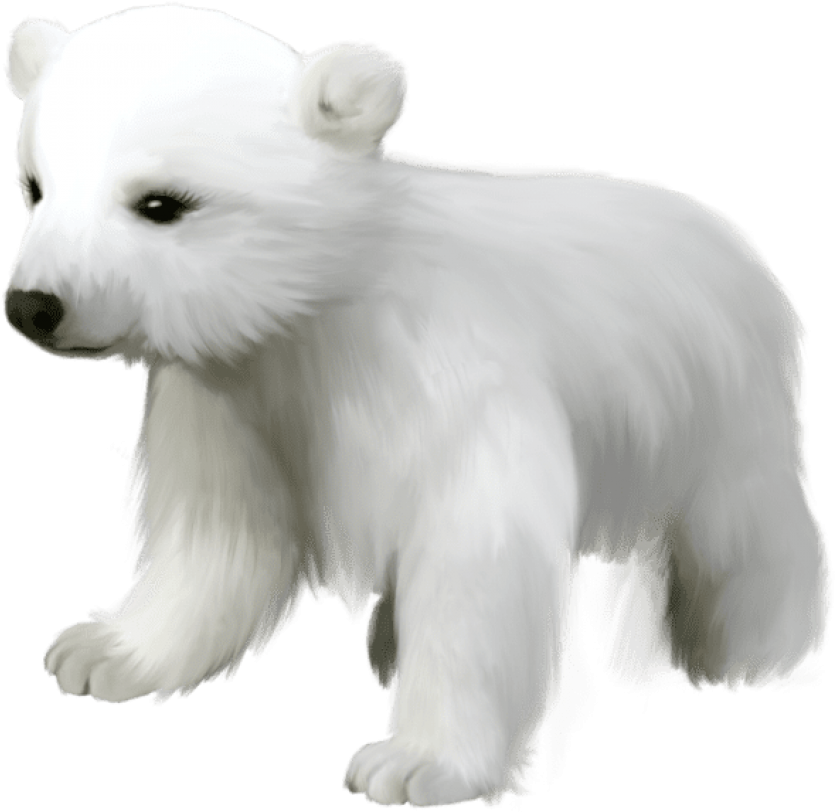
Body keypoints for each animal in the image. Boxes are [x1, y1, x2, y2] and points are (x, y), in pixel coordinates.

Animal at [3, 4, 830, 808]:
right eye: (36, 186)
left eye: (161, 203)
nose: (33, 304)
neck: (326, 309)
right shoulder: (241, 396)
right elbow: (221, 536)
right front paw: (103, 652)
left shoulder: (446, 378)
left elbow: (475, 557)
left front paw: (416, 766)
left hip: (719, 402)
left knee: (740, 535)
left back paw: (749, 655)